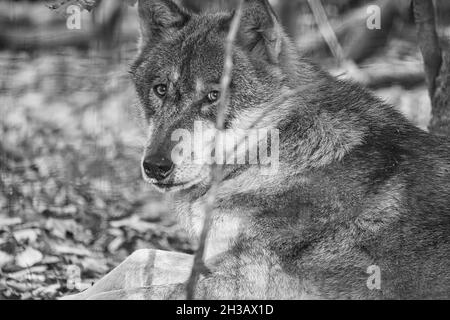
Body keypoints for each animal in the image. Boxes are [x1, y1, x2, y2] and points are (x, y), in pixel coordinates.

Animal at [67, 0, 450, 300]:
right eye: (161, 89)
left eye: (214, 96)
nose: (155, 166)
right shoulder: (212, 259)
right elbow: (133, 262)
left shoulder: (257, 282)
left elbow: (134, 290)